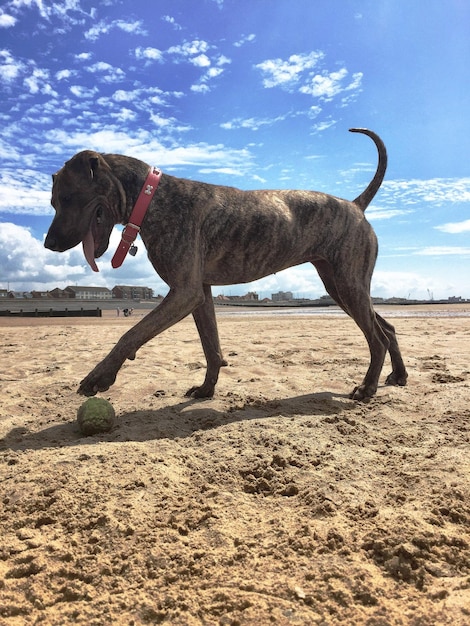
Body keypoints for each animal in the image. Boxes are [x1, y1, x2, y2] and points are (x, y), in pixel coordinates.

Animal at [45, 128, 408, 400]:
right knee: (386, 329)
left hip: (347, 284)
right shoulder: (200, 293)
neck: (152, 197)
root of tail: (356, 204)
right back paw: (398, 375)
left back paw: (368, 387)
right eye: (53, 201)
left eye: (66, 198)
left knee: (377, 338)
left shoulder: (184, 292)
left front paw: (99, 377)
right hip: (340, 285)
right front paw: (207, 389)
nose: (48, 244)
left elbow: (131, 334)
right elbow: (211, 347)